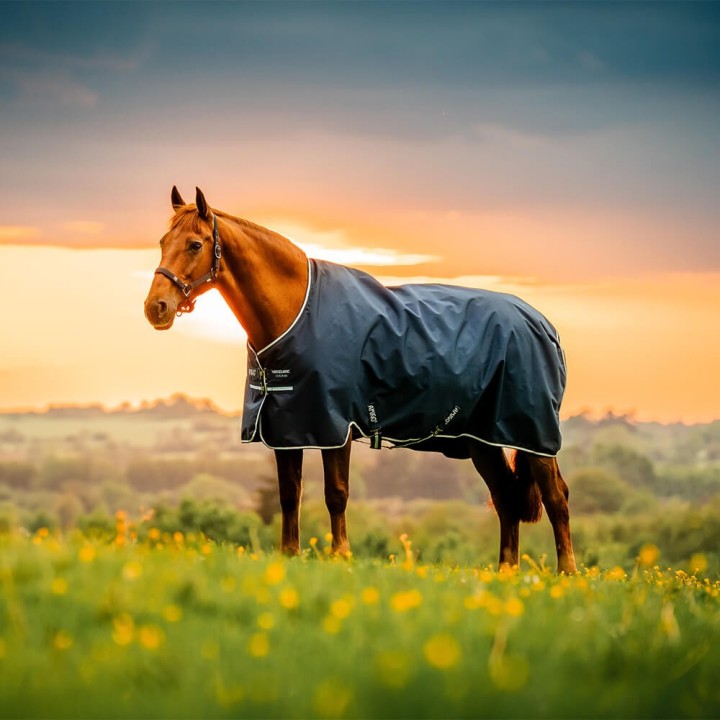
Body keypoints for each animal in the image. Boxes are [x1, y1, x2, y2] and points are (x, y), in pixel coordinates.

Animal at [144, 186, 577, 573]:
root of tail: (543, 324)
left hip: (534, 434)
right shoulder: (286, 428)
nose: (155, 308)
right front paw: (290, 555)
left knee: (556, 497)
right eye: (163, 241)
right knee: (505, 498)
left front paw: (341, 556)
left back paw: (567, 574)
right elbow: (289, 495)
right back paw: (507, 573)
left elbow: (336, 494)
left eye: (195, 244)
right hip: (481, 440)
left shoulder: (334, 425)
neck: (296, 312)